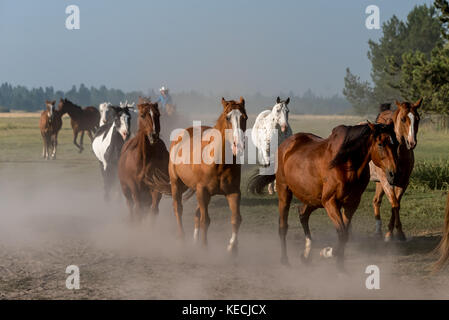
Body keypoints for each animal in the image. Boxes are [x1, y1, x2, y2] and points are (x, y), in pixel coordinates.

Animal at [168, 96, 247, 254]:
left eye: (244, 117)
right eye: (227, 117)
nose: (239, 146)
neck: (219, 162)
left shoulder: (233, 192)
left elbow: (236, 218)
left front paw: (232, 247)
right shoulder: (202, 191)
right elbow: (206, 220)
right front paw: (204, 247)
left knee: (196, 214)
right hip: (176, 184)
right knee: (178, 209)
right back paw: (181, 238)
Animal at [247, 122, 398, 270]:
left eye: (396, 143)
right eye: (380, 144)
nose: (393, 174)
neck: (346, 164)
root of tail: (285, 145)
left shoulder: (351, 203)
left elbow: (345, 234)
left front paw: (340, 265)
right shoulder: (330, 202)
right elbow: (342, 233)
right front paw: (328, 253)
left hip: (314, 199)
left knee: (303, 213)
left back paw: (306, 254)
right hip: (285, 192)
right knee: (283, 226)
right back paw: (285, 260)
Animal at [368, 99, 420, 241]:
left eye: (417, 119)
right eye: (403, 119)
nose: (411, 143)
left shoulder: (403, 182)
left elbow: (396, 204)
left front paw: (396, 232)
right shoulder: (387, 181)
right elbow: (395, 204)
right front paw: (392, 234)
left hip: (379, 183)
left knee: (376, 201)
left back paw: (378, 232)